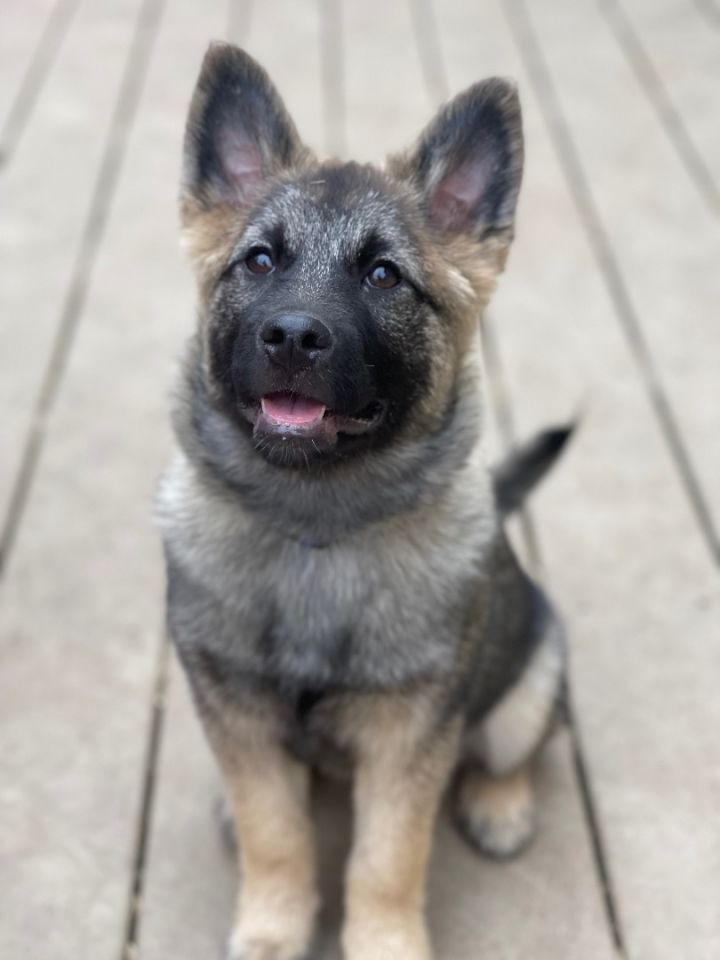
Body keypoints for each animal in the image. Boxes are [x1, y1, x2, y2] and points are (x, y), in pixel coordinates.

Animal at [158, 43, 568, 960]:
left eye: (384, 275)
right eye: (260, 261)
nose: (292, 337)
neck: (317, 530)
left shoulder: (409, 738)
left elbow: (388, 856)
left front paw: (384, 940)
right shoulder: (237, 714)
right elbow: (276, 830)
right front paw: (273, 924)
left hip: (533, 675)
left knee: (512, 750)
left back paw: (501, 805)